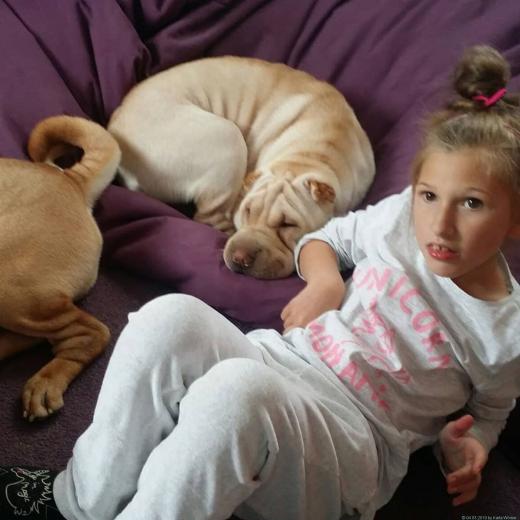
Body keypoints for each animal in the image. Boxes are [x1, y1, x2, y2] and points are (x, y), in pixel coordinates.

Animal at [108, 56, 375, 279]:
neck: (314, 153)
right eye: (247, 211)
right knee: (209, 216)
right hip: (227, 137)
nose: (240, 257)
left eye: (288, 225)